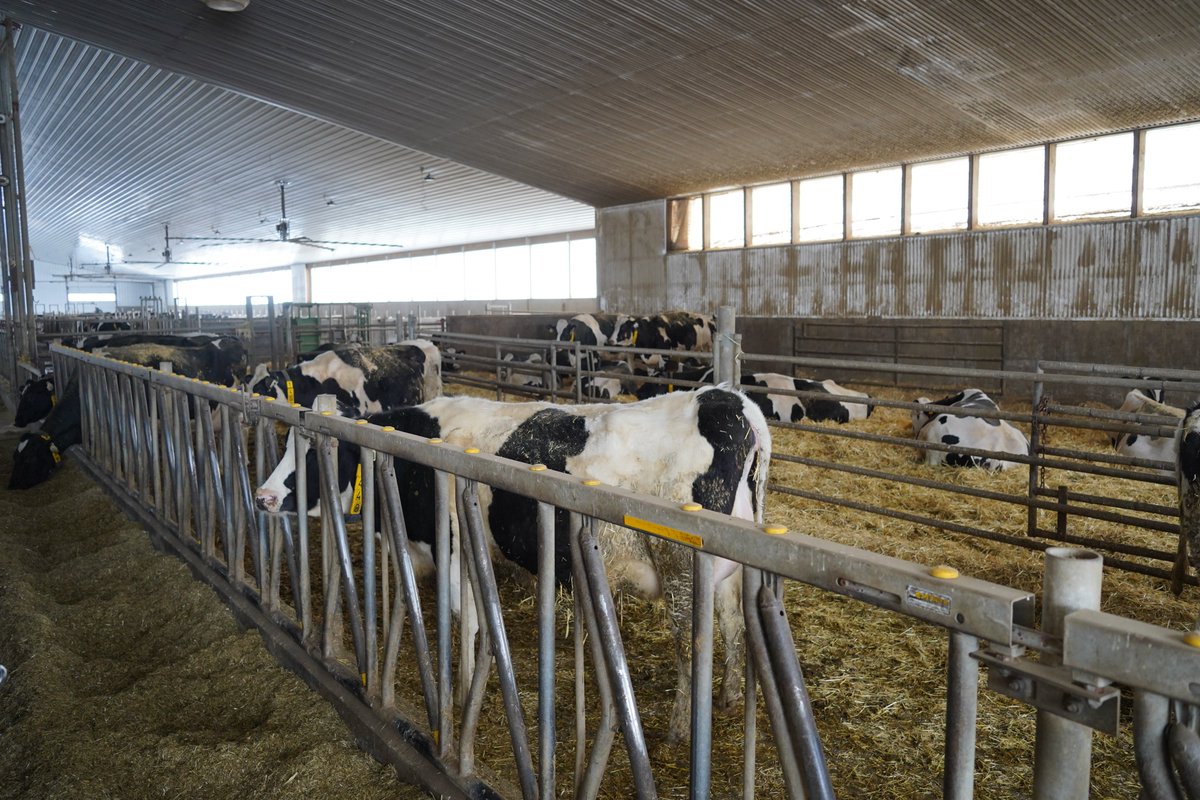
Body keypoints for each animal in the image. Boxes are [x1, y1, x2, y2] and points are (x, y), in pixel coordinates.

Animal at [258, 388, 772, 743]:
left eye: (310, 453)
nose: (263, 497)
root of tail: (727, 400)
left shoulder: (449, 547)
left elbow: (466, 618)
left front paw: (462, 692)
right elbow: (473, 617)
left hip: (683, 568)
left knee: (692, 646)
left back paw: (682, 726)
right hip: (727, 573)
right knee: (732, 624)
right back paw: (728, 695)